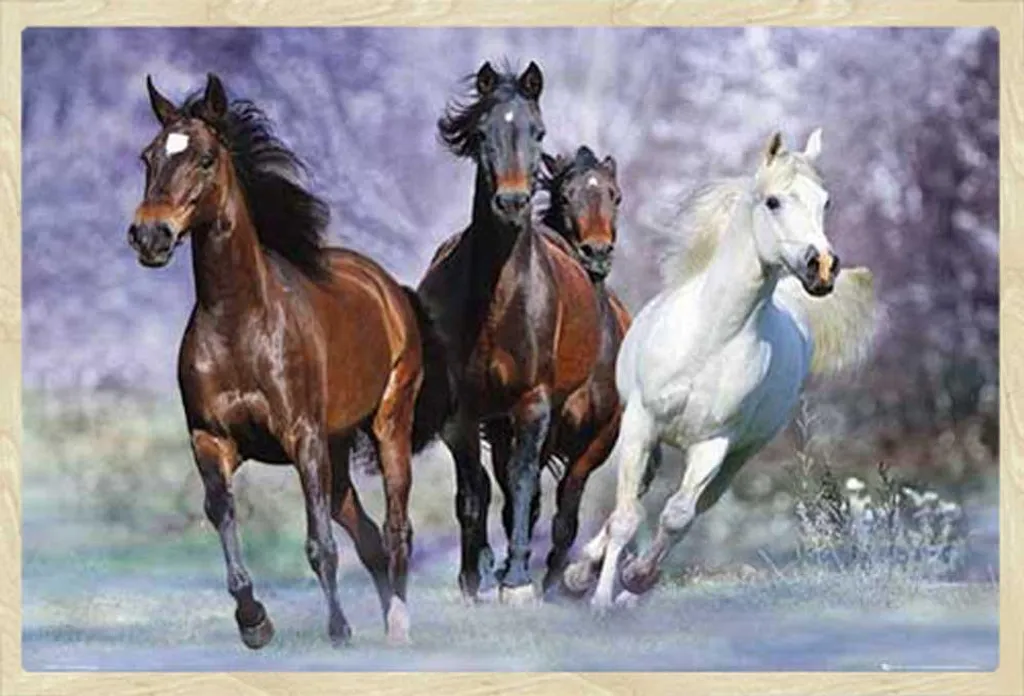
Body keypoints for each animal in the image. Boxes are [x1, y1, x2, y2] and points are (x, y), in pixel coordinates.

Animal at [127, 74, 452, 647]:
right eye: (148, 156)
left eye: (206, 158)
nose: (150, 236)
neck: (239, 324)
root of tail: (390, 290)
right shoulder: (212, 440)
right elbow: (222, 511)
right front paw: (253, 621)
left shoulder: (302, 439)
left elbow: (320, 543)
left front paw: (338, 630)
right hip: (337, 451)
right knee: (369, 535)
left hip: (387, 426)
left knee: (396, 529)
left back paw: (398, 626)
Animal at [416, 61, 611, 603]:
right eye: (483, 133)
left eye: (537, 131)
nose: (511, 202)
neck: (497, 302)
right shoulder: (461, 413)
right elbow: (472, 493)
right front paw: (471, 578)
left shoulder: (533, 403)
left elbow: (523, 485)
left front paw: (518, 583)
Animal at [562, 129, 877, 610]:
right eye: (773, 201)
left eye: (826, 202)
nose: (822, 267)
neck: (710, 339)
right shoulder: (640, 423)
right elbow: (626, 516)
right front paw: (596, 596)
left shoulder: (714, 443)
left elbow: (677, 516)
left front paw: (635, 579)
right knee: (633, 497)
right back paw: (583, 574)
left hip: (739, 455)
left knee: (695, 506)